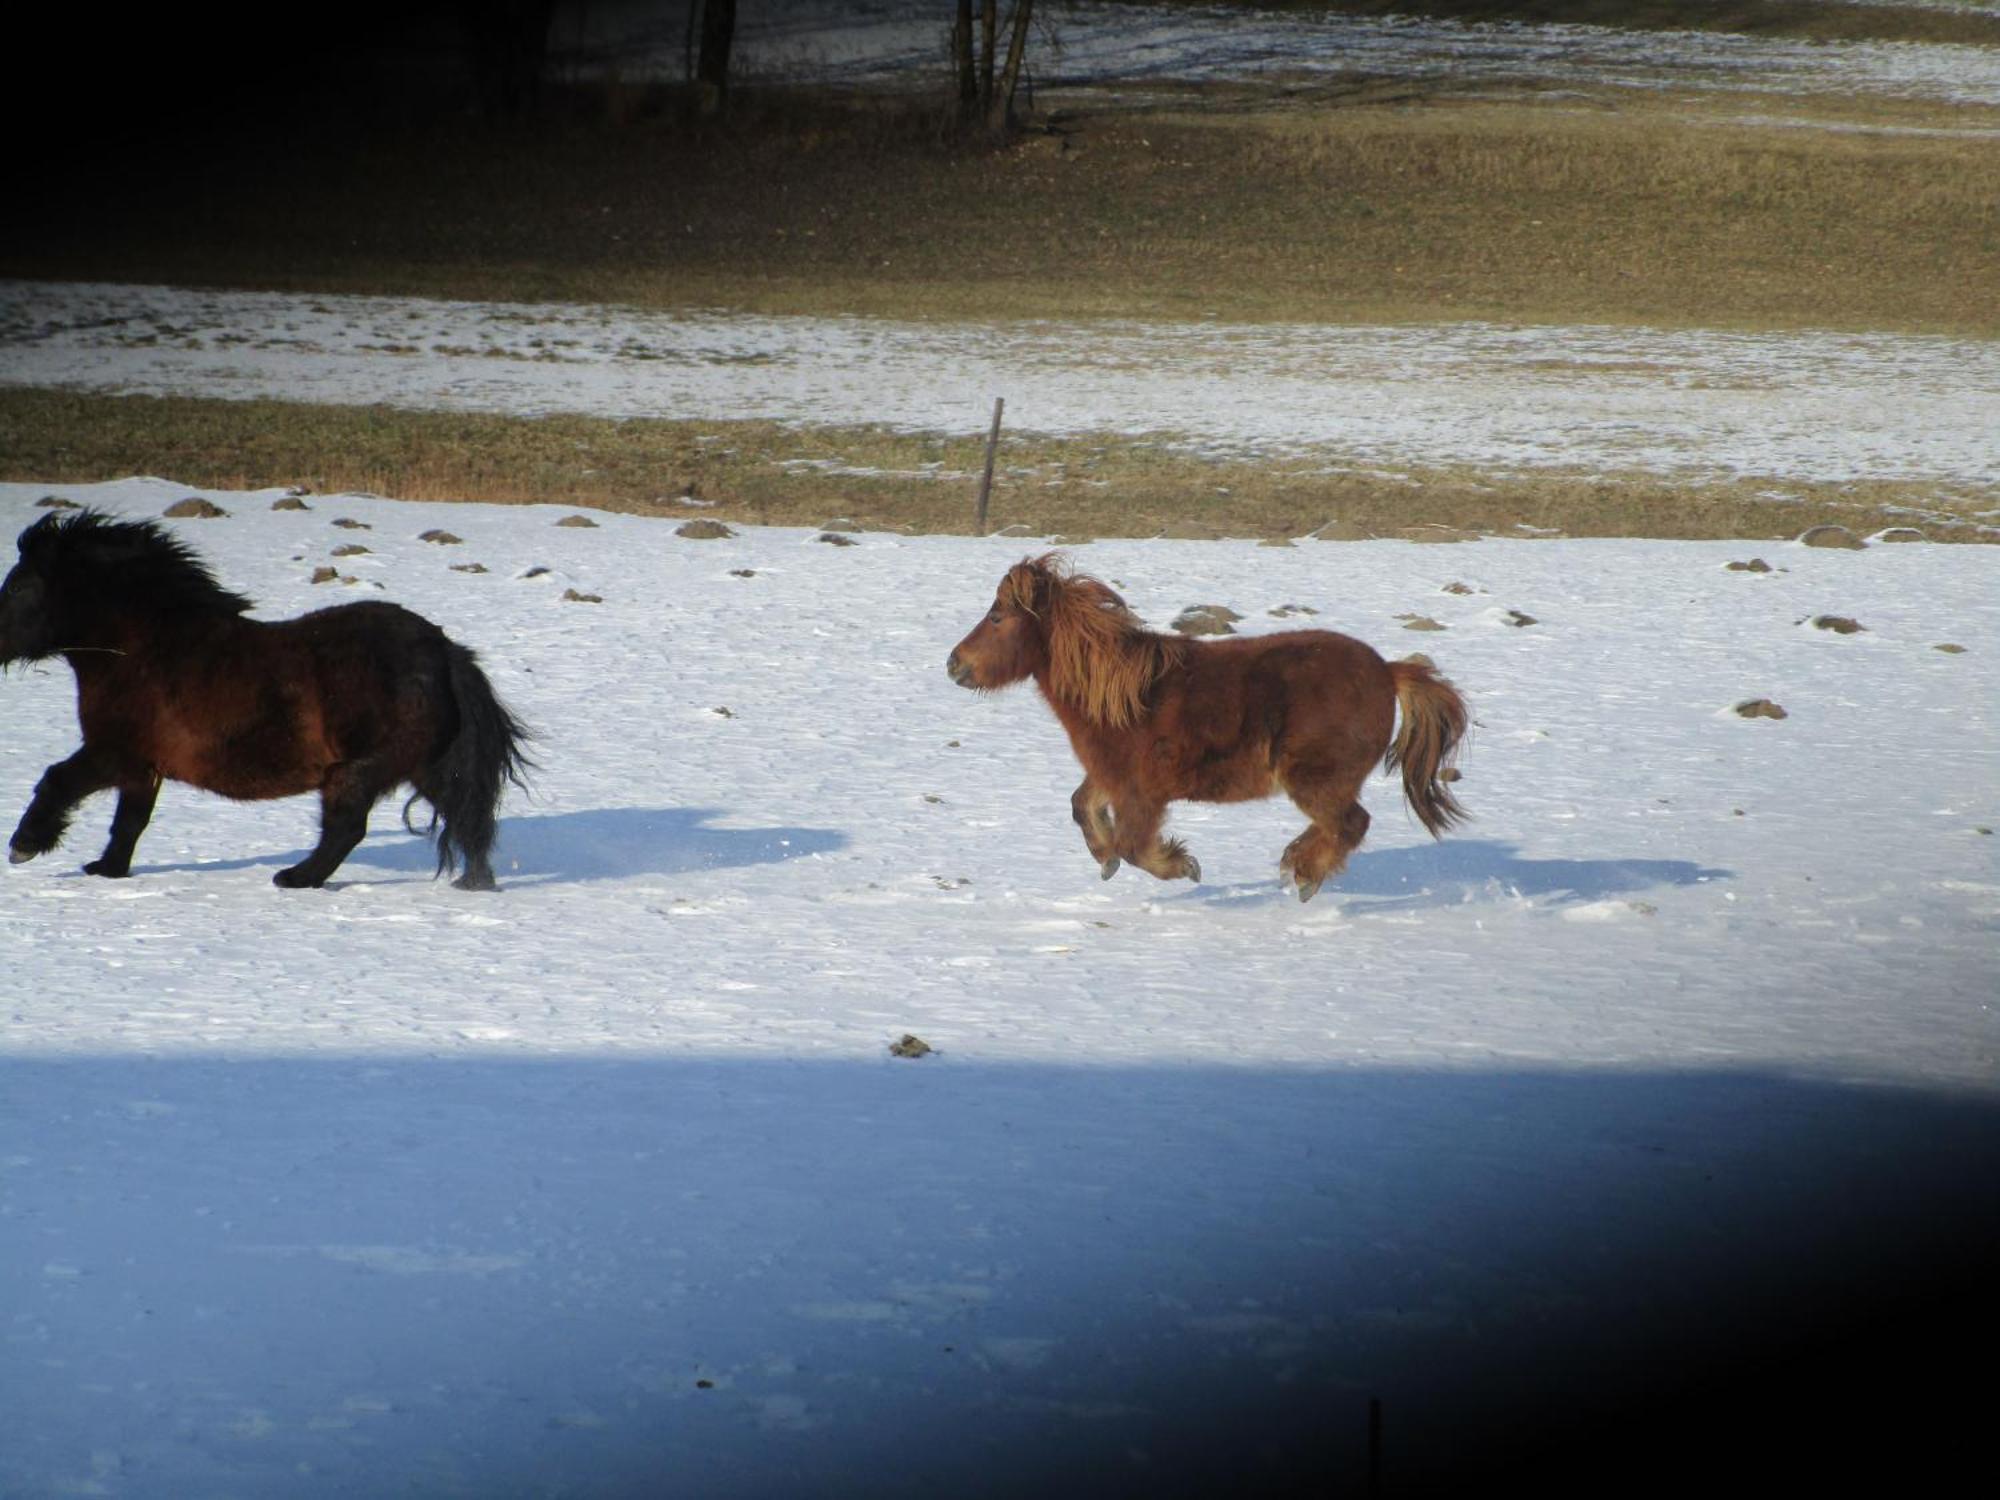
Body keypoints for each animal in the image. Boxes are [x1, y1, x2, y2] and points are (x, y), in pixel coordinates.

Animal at [0, 516, 532, 892]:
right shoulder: (142, 768)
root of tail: (441, 652)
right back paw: (475, 883)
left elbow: (57, 780)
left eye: (22, 586)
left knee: (347, 827)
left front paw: (25, 845)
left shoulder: (115, 752)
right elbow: (128, 824)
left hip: (357, 770)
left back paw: (296, 878)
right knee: (468, 819)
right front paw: (106, 870)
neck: (143, 648)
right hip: (427, 767)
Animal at [944, 556, 1464, 900]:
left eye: (997, 617)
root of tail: (1389, 672)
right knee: (1338, 826)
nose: (953, 664)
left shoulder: (1142, 794)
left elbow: (1134, 846)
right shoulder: (1112, 776)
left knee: (1350, 824)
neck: (1122, 695)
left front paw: (1182, 865)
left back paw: (1303, 874)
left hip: (1315, 779)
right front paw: (1104, 859)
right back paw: (1297, 863)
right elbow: (1082, 807)